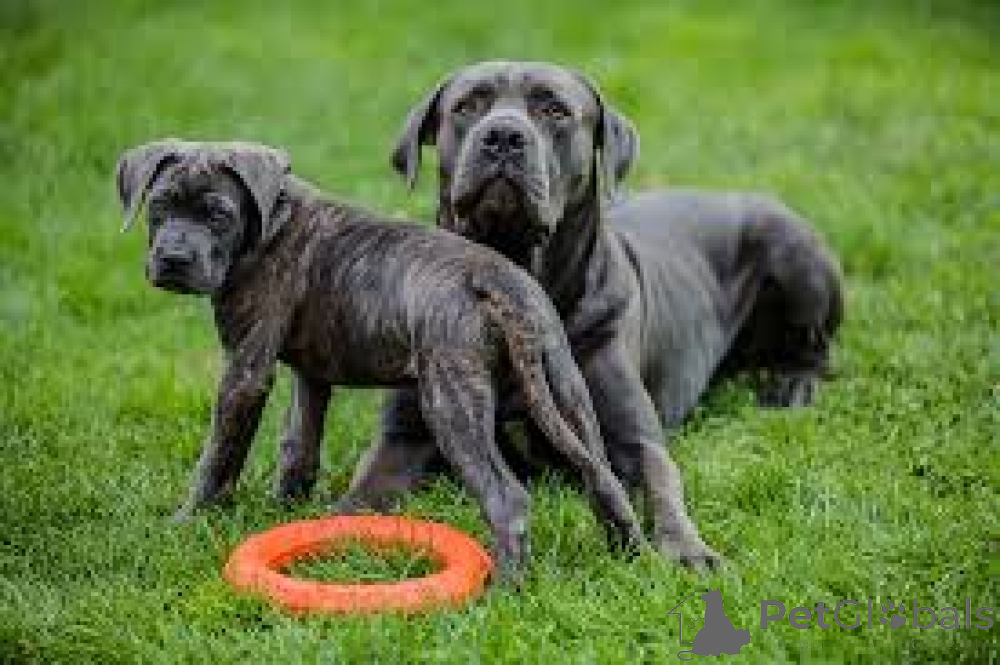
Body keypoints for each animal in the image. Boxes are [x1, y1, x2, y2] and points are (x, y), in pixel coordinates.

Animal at [115, 139, 647, 578]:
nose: (173, 261)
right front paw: (288, 512)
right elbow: (297, 445)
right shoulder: (311, 375)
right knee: (603, 477)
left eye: (217, 215)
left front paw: (188, 520)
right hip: (567, 389)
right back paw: (635, 558)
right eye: (159, 206)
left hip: (451, 401)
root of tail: (500, 280)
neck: (269, 221)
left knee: (508, 500)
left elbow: (219, 455)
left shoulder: (245, 372)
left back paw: (504, 590)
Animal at [329, 61, 842, 569]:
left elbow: (662, 483)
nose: (503, 136)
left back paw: (791, 386)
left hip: (794, 249)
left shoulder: (633, 437)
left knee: (817, 349)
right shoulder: (402, 436)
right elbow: (363, 493)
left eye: (555, 109)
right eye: (468, 105)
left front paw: (688, 550)